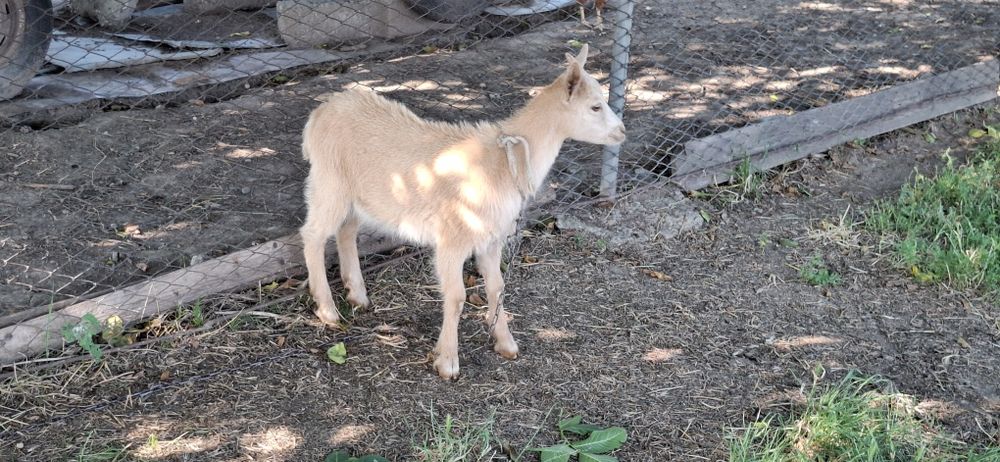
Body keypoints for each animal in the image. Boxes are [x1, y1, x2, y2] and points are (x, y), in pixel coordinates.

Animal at [299, 44, 625, 380]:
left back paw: (358, 295)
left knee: (345, 231)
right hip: (329, 181)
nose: (622, 132)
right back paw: (328, 311)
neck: (503, 160)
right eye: (595, 107)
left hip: (356, 194)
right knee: (313, 235)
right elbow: (456, 298)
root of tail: (320, 113)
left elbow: (497, 287)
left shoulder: (491, 239)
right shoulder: (452, 238)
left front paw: (505, 343)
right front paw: (448, 362)